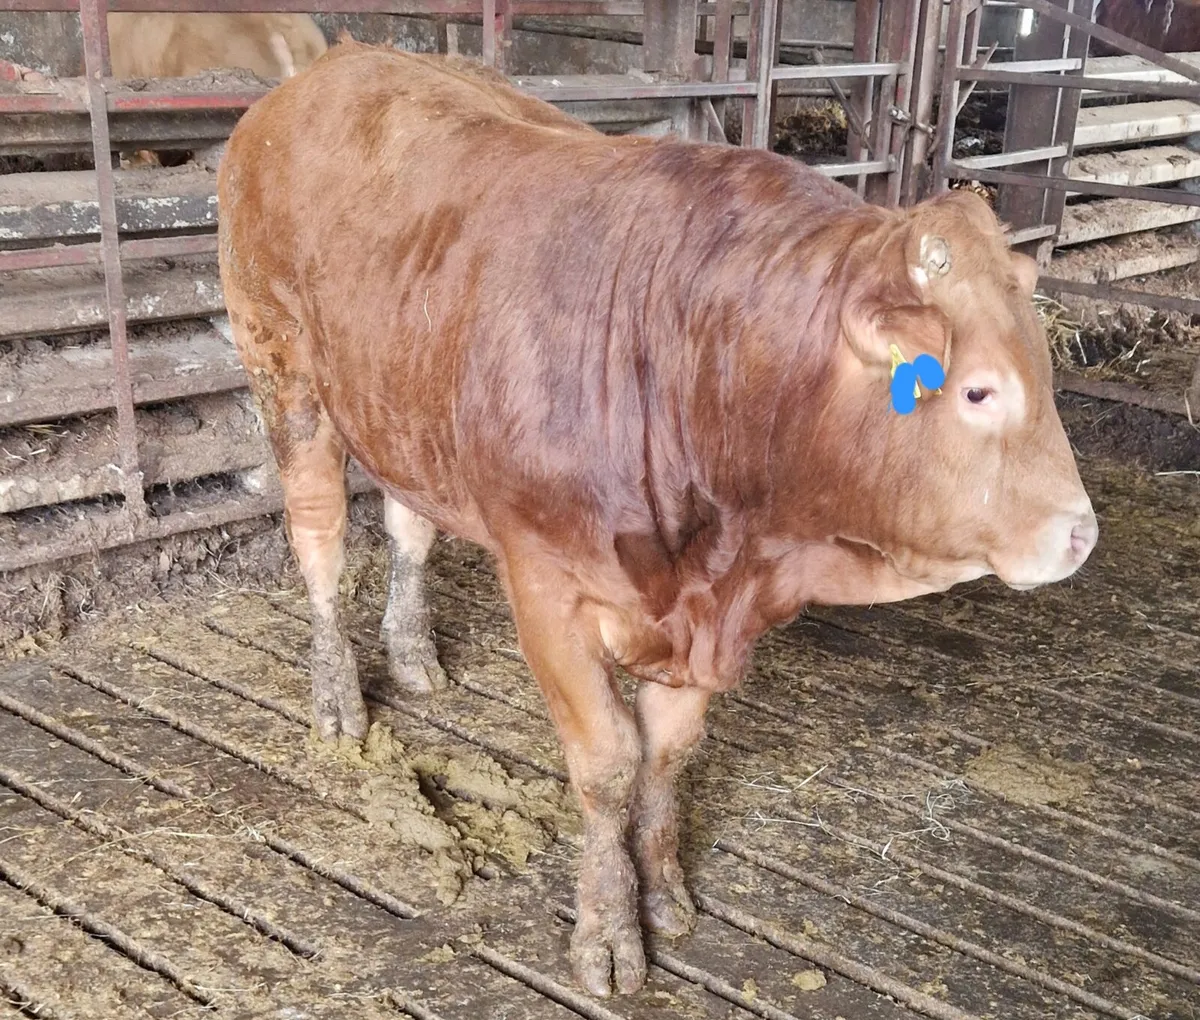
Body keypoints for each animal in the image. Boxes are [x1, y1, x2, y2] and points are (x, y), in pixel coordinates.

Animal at [217, 43, 1098, 999]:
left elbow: (667, 757)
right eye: (977, 390)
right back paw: (338, 700)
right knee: (320, 543)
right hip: (283, 372)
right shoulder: (547, 585)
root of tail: (332, 65)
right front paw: (608, 927)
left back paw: (413, 654)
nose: (1081, 533)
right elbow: (608, 763)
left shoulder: (703, 618)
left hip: (401, 402)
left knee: (410, 522)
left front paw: (665, 888)